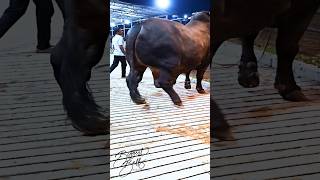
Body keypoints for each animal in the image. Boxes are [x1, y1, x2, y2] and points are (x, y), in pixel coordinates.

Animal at [212, 0, 320, 141]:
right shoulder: (303, 8)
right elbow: (288, 45)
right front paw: (289, 88)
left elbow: (252, 34)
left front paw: (249, 75)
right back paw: (219, 124)